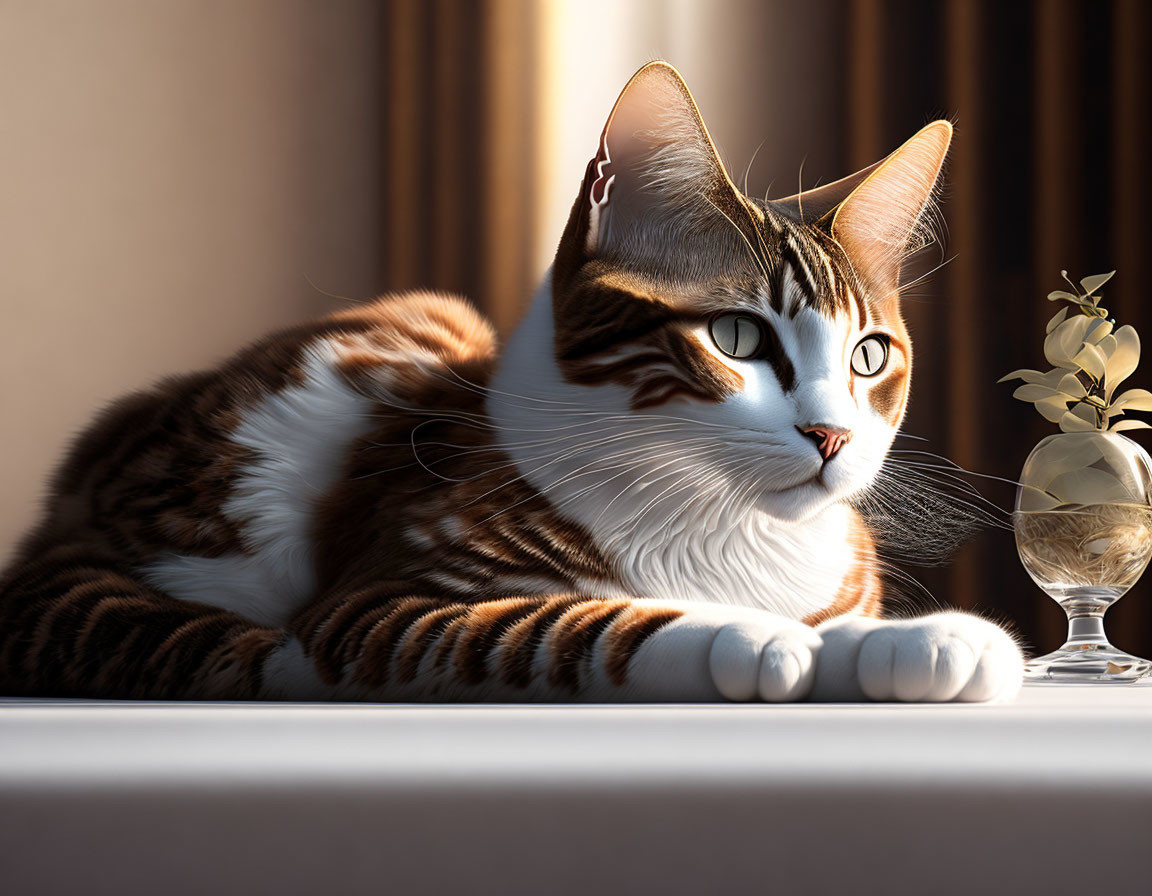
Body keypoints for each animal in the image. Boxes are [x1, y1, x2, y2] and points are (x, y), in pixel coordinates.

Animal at [0, 64, 1027, 704]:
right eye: (736, 335)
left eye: (869, 357)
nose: (833, 437)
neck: (723, 527)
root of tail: (68, 505)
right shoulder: (385, 598)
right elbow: (575, 624)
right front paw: (754, 637)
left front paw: (915, 641)